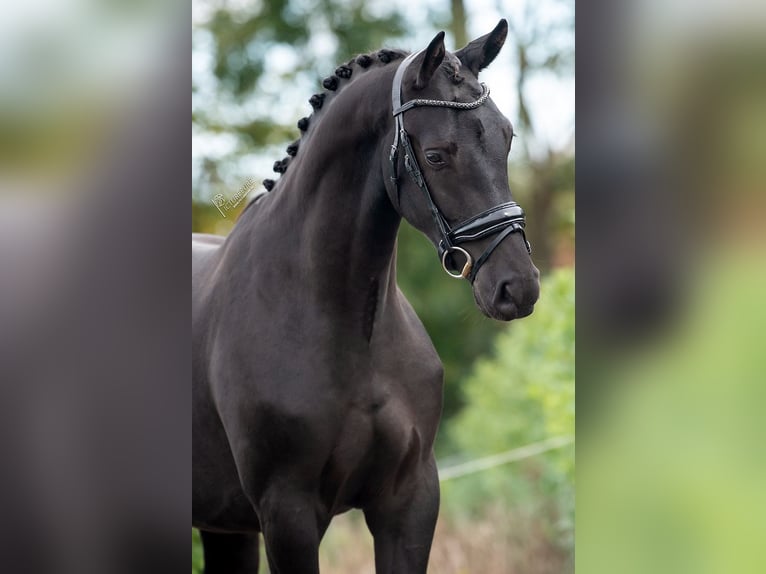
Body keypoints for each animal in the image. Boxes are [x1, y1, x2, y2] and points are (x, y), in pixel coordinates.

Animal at [192, 20, 540, 572]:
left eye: (506, 137)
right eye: (437, 155)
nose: (517, 287)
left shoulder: (409, 500)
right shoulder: (288, 514)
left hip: (226, 526)